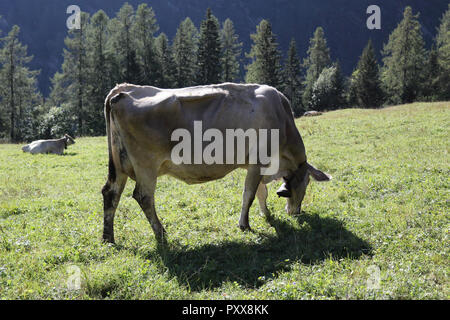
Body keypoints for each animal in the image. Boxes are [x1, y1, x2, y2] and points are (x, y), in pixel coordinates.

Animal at [101, 82, 330, 242]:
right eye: (307, 183)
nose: (296, 211)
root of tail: (122, 89)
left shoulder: (254, 164)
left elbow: (260, 193)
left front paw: (267, 214)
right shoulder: (258, 161)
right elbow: (249, 194)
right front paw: (245, 225)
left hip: (119, 165)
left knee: (110, 193)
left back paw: (108, 238)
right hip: (146, 166)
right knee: (143, 196)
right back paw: (161, 233)